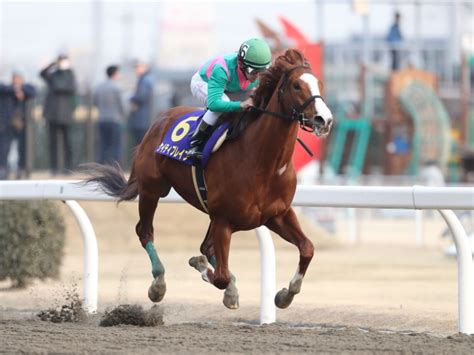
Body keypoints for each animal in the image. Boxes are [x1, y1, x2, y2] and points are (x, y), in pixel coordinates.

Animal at [85, 48, 336, 310]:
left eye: (319, 83)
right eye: (297, 85)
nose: (324, 119)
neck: (264, 163)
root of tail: (160, 119)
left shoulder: (277, 215)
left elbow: (307, 248)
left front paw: (285, 294)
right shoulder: (224, 220)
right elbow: (220, 276)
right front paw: (208, 271)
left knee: (205, 246)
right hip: (152, 190)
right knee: (145, 232)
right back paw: (158, 284)